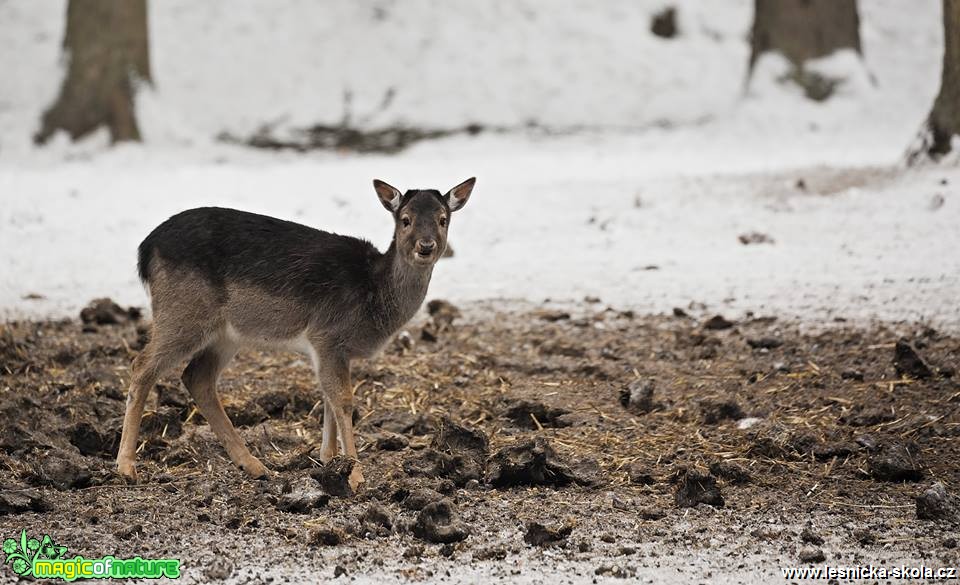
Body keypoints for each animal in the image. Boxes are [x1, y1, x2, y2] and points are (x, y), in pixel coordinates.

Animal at [116, 178, 476, 488]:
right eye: (405, 219)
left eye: (443, 219)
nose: (426, 247)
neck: (372, 296)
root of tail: (144, 251)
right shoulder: (328, 334)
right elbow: (344, 399)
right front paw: (356, 475)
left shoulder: (333, 349)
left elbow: (329, 397)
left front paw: (329, 459)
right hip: (183, 312)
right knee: (142, 366)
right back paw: (126, 467)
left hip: (225, 334)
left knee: (197, 377)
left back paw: (255, 466)